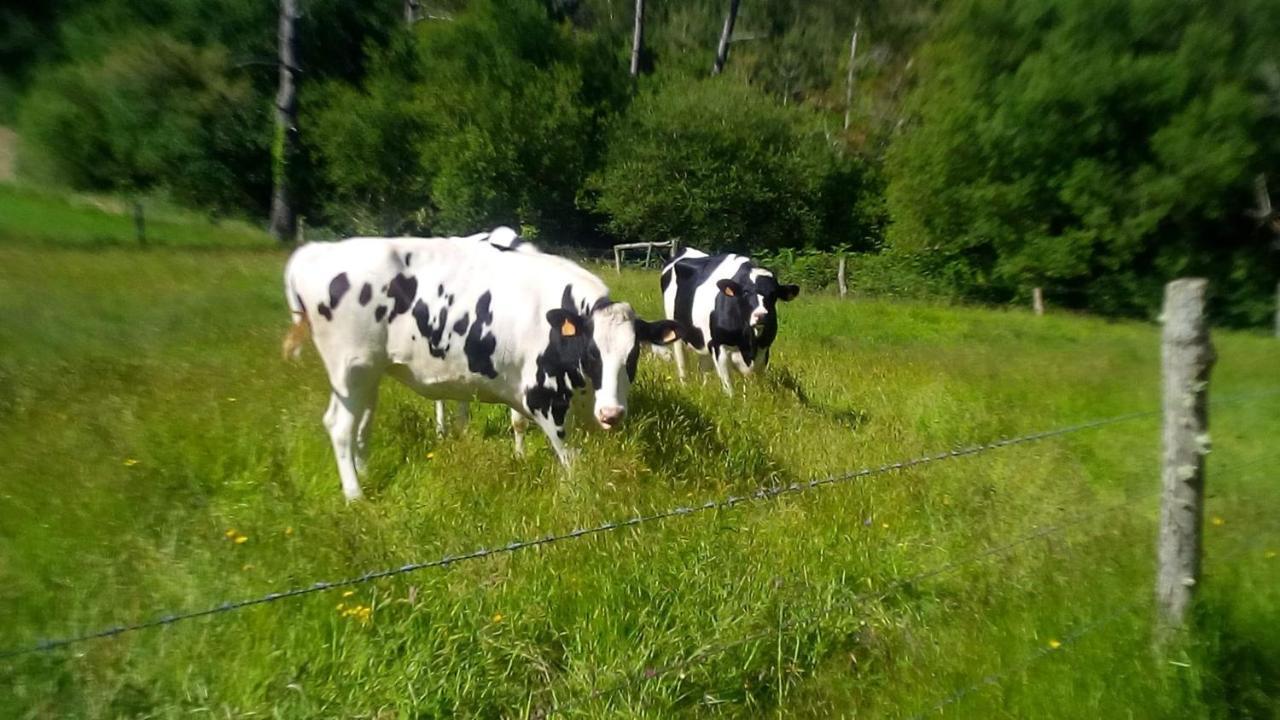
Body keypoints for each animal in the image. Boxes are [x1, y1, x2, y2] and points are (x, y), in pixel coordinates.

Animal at [660, 245, 798, 392]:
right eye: (745, 292)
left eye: (773, 294)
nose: (761, 315)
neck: (748, 342)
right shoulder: (719, 346)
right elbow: (728, 386)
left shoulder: (764, 350)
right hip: (676, 333)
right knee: (682, 364)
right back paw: (685, 385)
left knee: (704, 368)